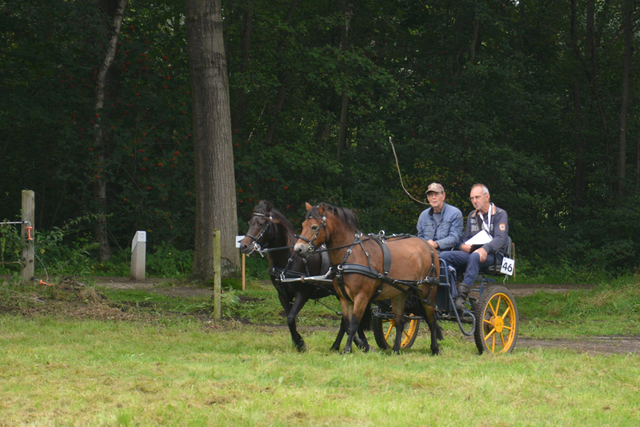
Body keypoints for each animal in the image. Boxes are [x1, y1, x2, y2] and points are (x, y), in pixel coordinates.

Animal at [239, 202, 370, 352]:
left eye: (261, 223)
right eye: (250, 223)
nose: (244, 246)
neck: (289, 258)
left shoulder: (303, 293)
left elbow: (290, 318)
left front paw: (300, 343)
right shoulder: (282, 295)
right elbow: (290, 319)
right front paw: (297, 342)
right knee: (345, 319)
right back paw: (339, 345)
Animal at [294, 202, 440, 356]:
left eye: (314, 227)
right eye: (303, 224)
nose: (298, 249)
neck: (351, 255)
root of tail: (428, 246)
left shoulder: (361, 297)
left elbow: (353, 324)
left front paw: (348, 349)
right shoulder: (344, 298)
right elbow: (347, 324)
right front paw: (352, 347)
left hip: (427, 291)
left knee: (432, 319)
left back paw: (435, 348)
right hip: (400, 293)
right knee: (399, 321)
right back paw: (396, 349)